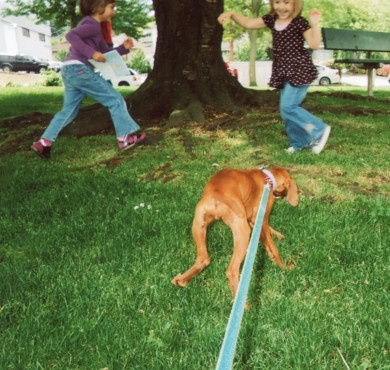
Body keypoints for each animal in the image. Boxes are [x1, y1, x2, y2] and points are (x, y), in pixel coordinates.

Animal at [171, 167, 298, 298]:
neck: (267, 177)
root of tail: (217, 196)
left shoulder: (253, 221)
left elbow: (267, 242)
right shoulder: (260, 218)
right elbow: (273, 246)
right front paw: (283, 267)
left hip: (198, 225)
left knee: (203, 259)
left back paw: (182, 279)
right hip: (242, 232)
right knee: (232, 270)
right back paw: (244, 301)